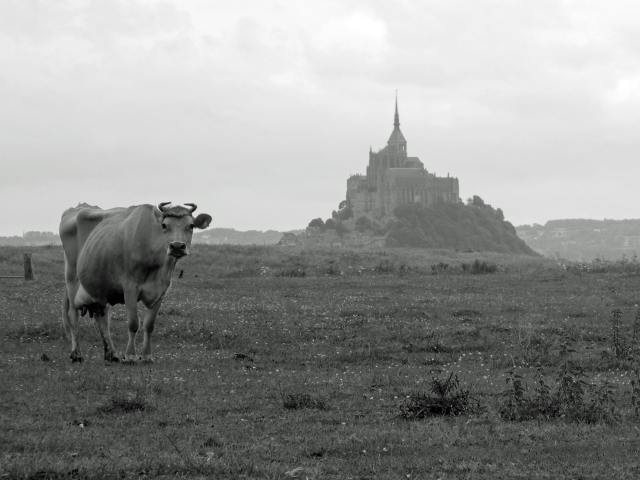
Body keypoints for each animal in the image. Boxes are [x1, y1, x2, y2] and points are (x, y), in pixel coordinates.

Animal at [59, 202, 212, 363]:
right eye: (164, 225)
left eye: (191, 225)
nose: (176, 246)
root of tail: (77, 208)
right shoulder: (130, 288)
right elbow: (133, 323)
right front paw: (130, 355)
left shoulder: (160, 292)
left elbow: (149, 325)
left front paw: (147, 356)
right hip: (71, 279)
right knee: (73, 315)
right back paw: (77, 354)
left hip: (98, 288)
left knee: (102, 318)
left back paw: (111, 353)